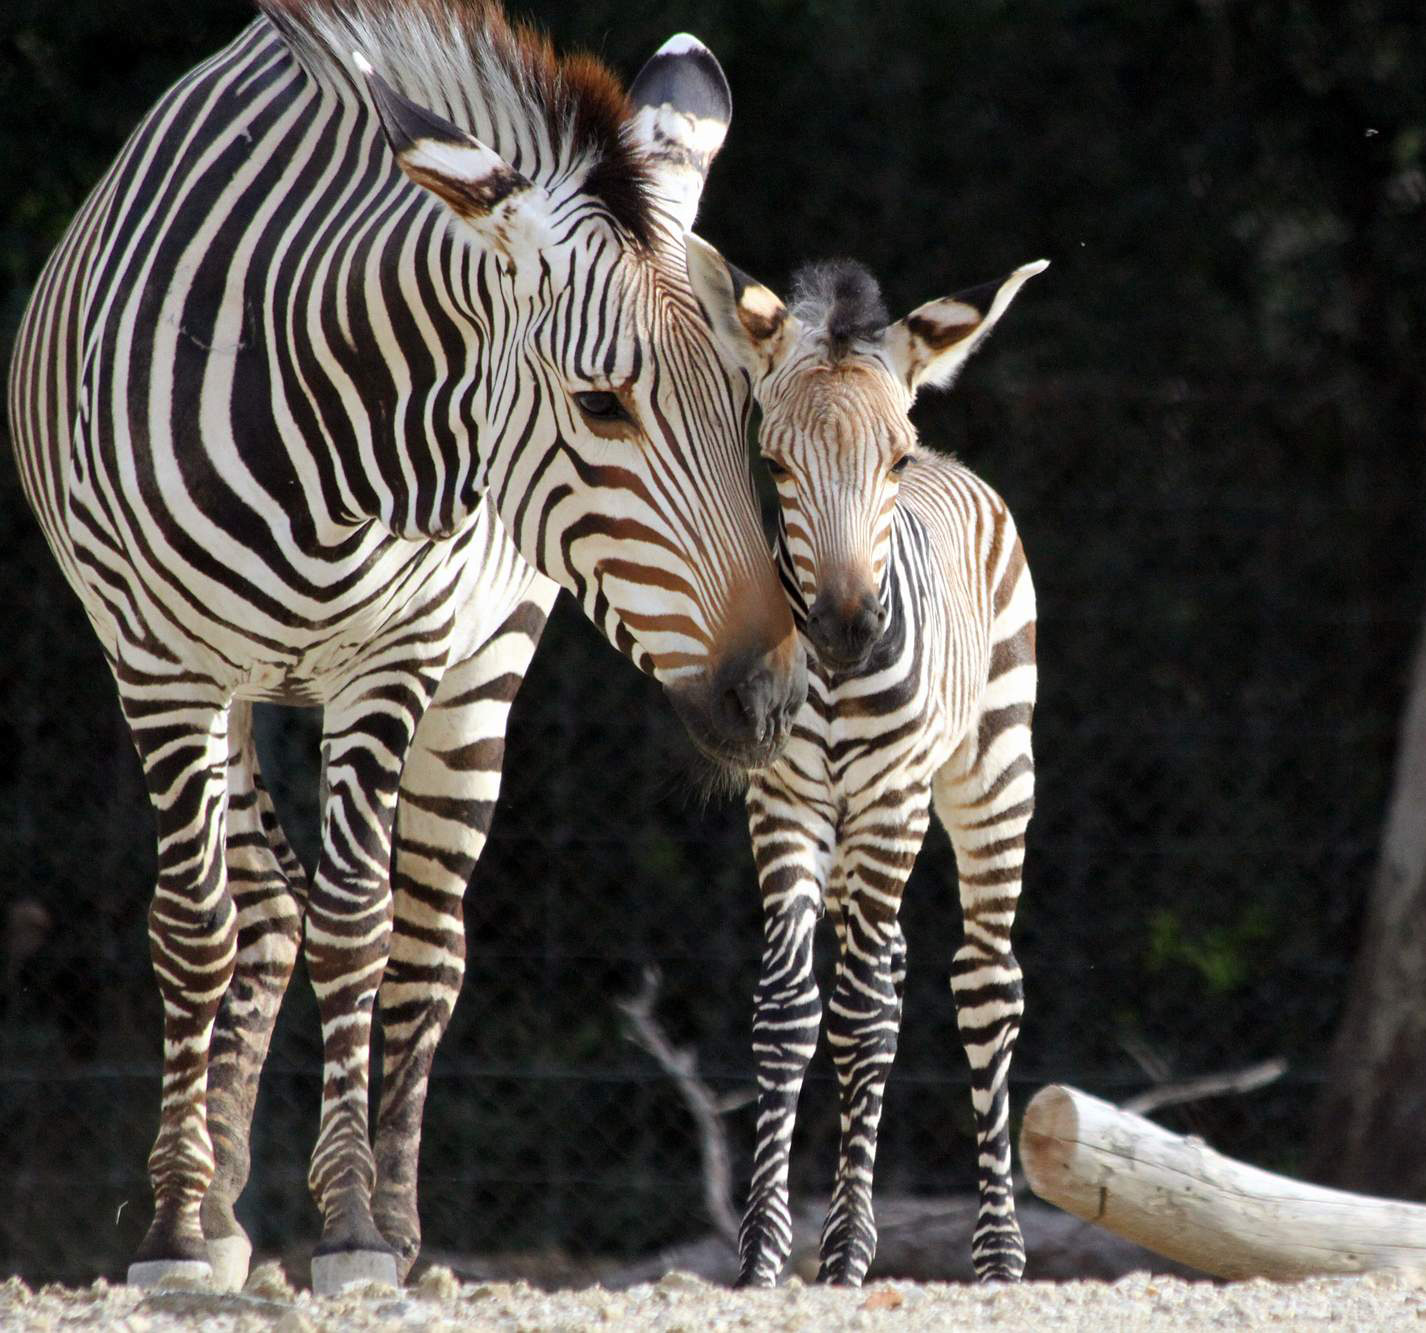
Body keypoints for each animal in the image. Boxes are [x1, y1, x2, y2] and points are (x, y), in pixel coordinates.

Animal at [8, 0, 808, 1293]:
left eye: (743, 410)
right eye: (601, 404)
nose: (777, 697)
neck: (329, 434)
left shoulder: (393, 659)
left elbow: (360, 924)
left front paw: (350, 1228)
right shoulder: (159, 663)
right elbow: (197, 929)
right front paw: (176, 1228)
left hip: (482, 666)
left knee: (427, 939)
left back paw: (397, 1214)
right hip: (237, 686)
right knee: (261, 916)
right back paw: (219, 1205)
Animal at [685, 240, 1046, 1285]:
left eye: (891, 459)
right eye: (772, 462)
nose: (847, 630)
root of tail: (960, 470)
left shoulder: (893, 801)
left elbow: (857, 1014)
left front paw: (841, 1259)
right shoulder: (784, 804)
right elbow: (791, 1012)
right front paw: (764, 1256)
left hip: (988, 778)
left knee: (981, 986)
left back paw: (998, 1254)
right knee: (886, 974)